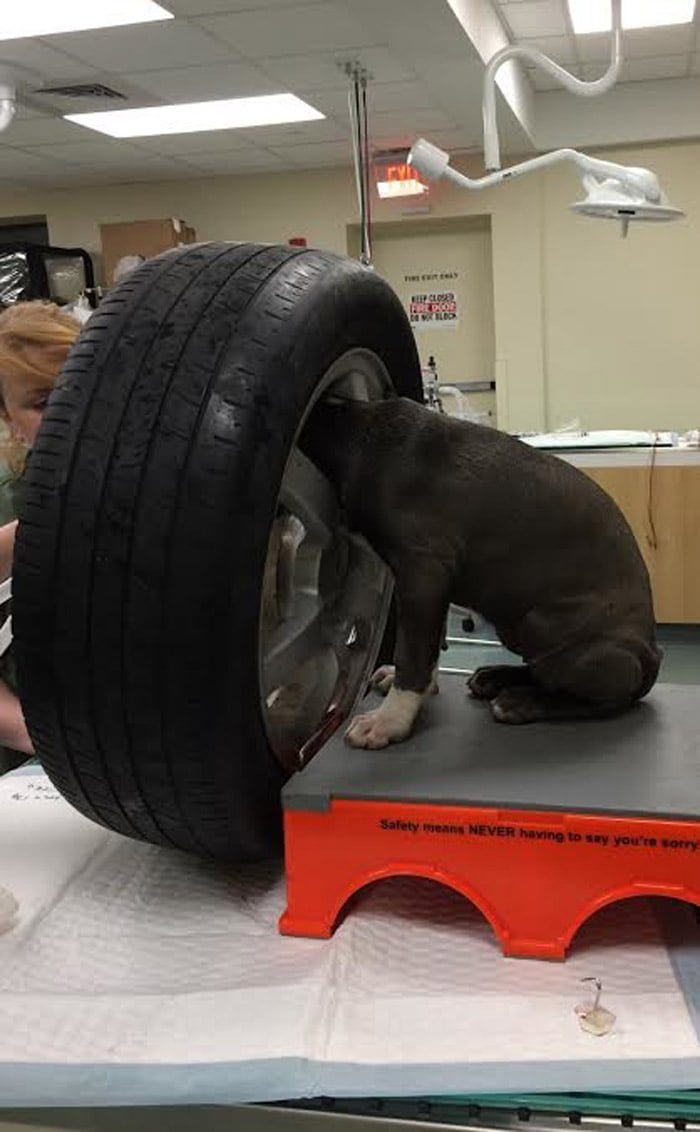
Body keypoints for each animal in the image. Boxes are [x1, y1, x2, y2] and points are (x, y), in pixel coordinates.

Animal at [301, 398, 661, 751]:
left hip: (543, 626)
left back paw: (523, 702)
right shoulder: (432, 587)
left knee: (603, 697)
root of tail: (653, 654)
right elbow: (431, 644)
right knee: (543, 671)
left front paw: (390, 721)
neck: (361, 433)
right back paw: (495, 677)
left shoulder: (423, 572)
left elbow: (413, 654)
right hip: (516, 628)